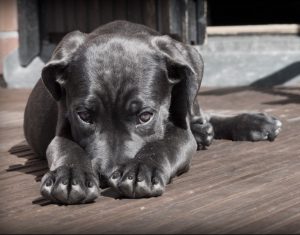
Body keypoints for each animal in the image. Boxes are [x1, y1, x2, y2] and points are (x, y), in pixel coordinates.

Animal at [22, 20, 282, 204]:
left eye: (145, 116)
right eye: (84, 116)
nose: (106, 176)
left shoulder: (180, 131)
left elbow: (163, 144)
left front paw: (141, 170)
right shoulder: (63, 126)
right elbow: (66, 147)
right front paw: (69, 176)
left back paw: (251, 123)